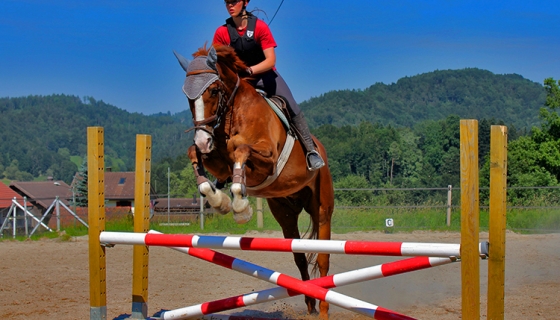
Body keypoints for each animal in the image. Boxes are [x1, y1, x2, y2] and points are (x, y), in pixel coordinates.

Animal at [175, 44, 332, 318]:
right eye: (187, 97)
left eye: (213, 91)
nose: (203, 139)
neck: (232, 113)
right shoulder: (216, 158)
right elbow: (195, 154)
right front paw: (218, 198)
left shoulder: (267, 158)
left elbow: (240, 148)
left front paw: (240, 206)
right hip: (285, 213)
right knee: (300, 258)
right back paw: (310, 304)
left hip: (322, 209)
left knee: (323, 259)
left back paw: (323, 309)